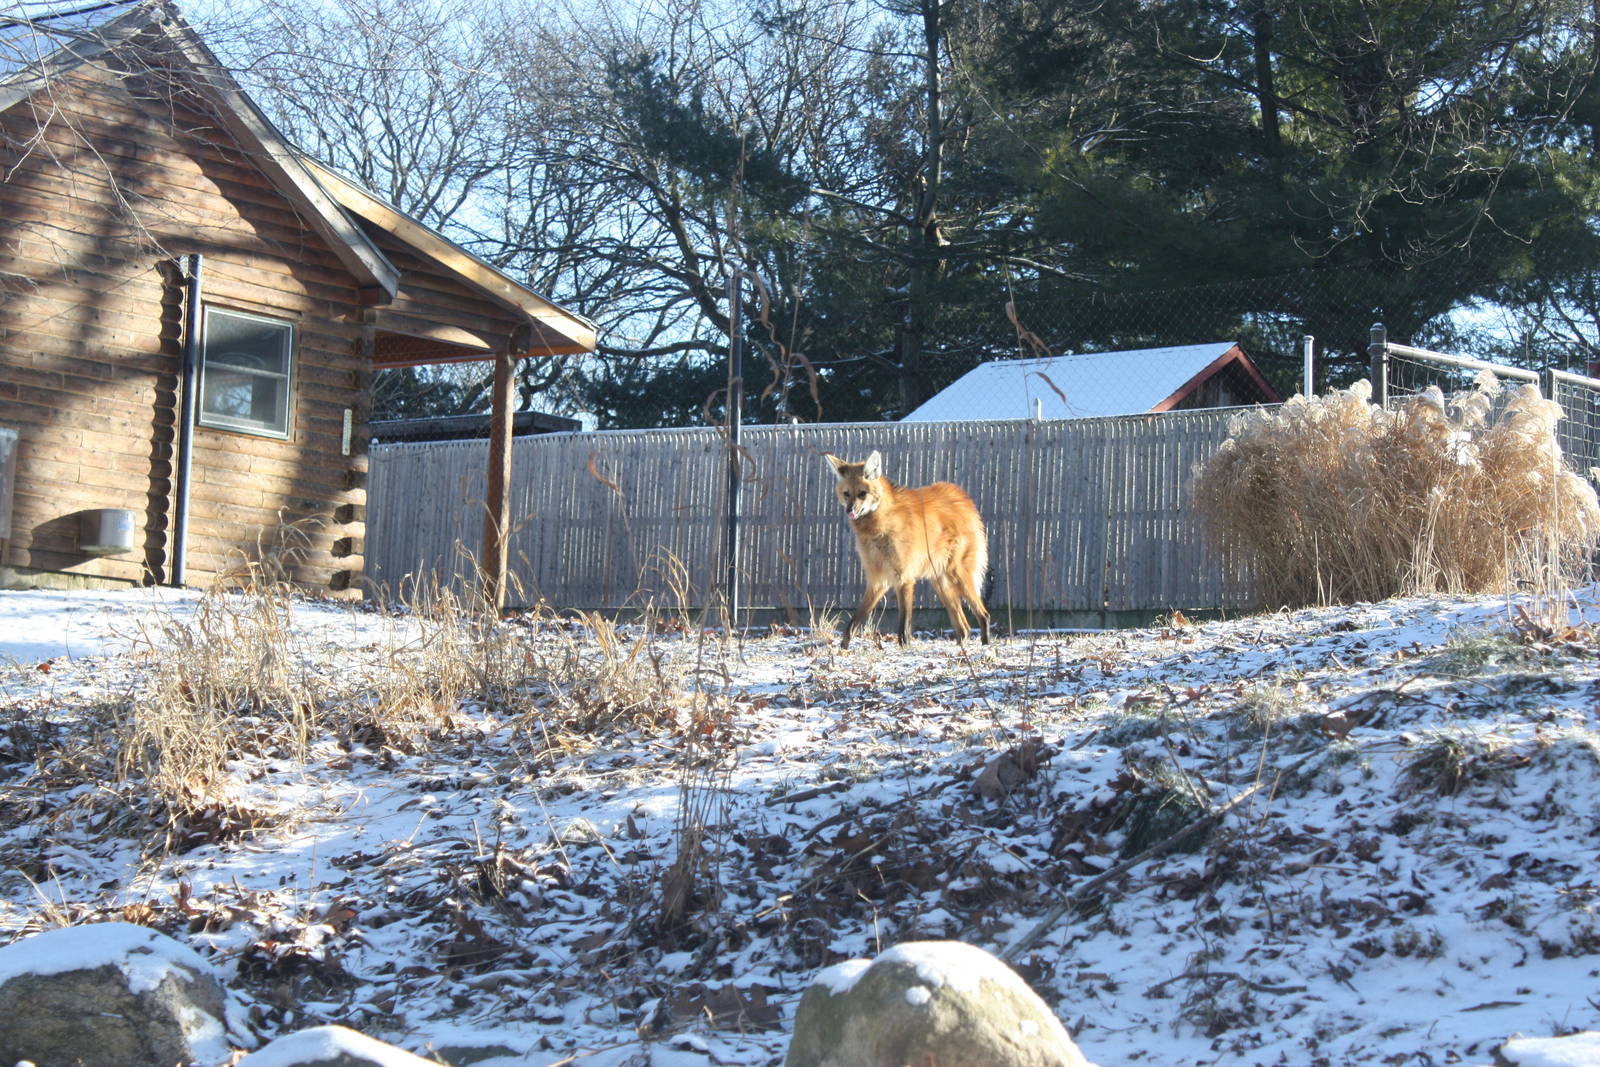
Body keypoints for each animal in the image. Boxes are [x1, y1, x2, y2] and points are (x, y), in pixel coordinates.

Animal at [822, 450, 993, 650]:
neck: (878, 528)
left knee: (983, 615)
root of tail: (964, 499)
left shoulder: (904, 578)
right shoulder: (877, 580)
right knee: (964, 627)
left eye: (862, 494)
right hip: (940, 581)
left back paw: (986, 646)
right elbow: (855, 621)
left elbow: (904, 625)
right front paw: (843, 648)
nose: (850, 511)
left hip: (957, 573)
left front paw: (905, 648)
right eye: (846, 494)